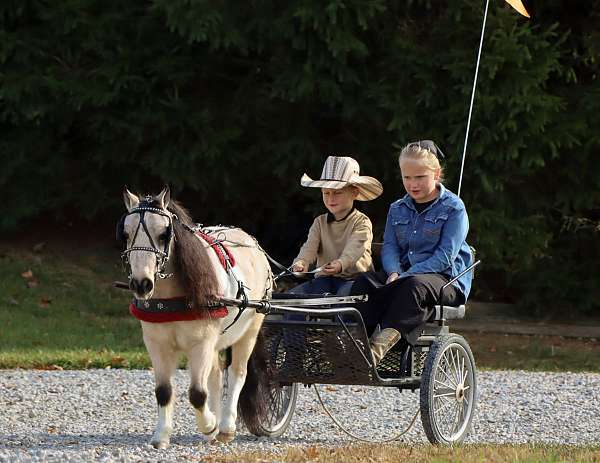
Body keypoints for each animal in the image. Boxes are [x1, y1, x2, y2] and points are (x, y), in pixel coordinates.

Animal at [116, 187, 274, 448]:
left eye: (163, 234)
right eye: (126, 234)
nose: (141, 284)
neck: (172, 298)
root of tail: (251, 241)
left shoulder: (201, 344)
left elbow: (197, 394)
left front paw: (209, 425)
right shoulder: (156, 344)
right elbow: (163, 391)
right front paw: (162, 435)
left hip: (249, 330)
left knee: (237, 373)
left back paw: (225, 426)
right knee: (216, 375)